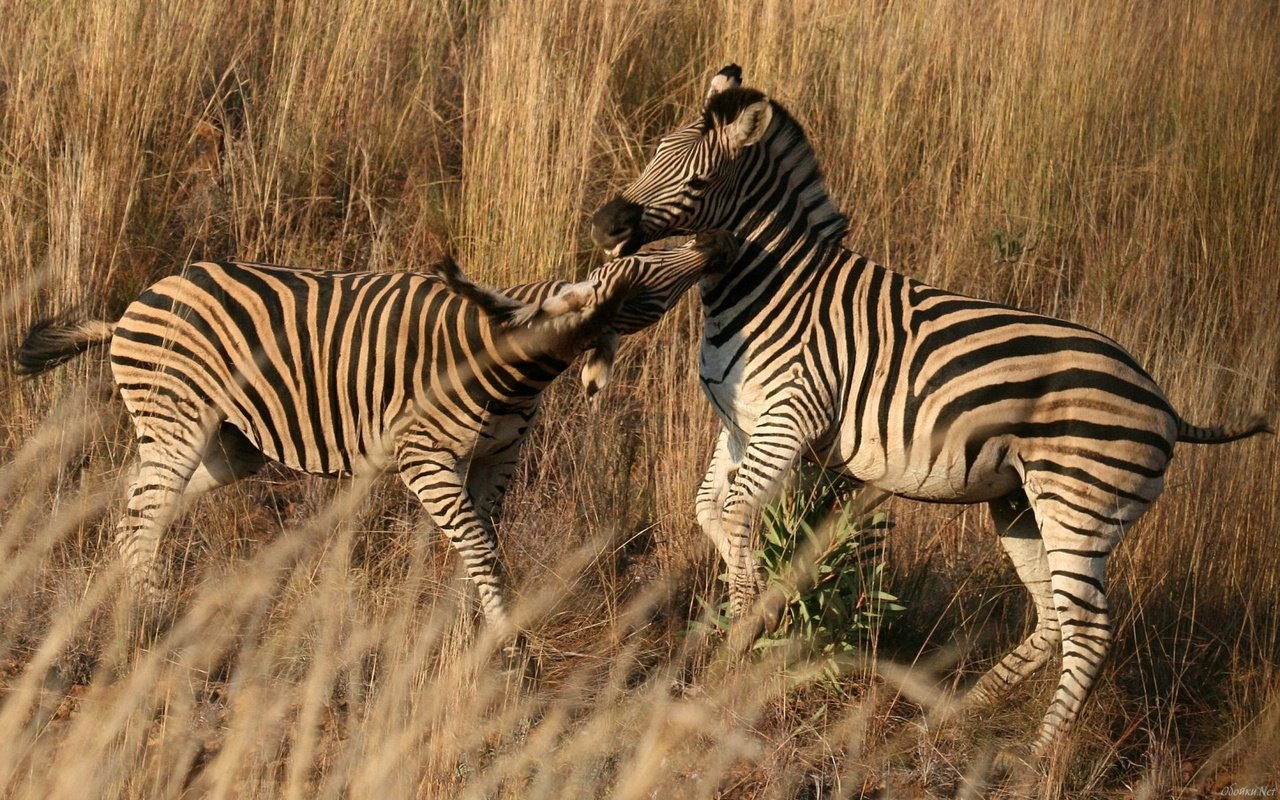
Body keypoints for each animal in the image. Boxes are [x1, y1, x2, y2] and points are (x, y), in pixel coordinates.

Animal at [15, 227, 737, 652]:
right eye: (642, 269)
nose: (715, 238)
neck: (514, 363)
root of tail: (126, 311)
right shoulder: (426, 457)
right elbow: (476, 540)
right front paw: (508, 641)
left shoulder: (498, 457)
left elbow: (484, 540)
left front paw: (475, 623)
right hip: (181, 418)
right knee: (144, 510)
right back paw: (152, 618)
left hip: (227, 444)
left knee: (136, 500)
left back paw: (127, 592)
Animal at [588, 62, 1269, 762]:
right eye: (652, 154)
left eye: (697, 181)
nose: (605, 224)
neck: (769, 287)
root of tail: (1166, 404)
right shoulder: (741, 425)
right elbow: (712, 513)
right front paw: (758, 607)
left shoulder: (791, 414)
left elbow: (735, 512)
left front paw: (738, 643)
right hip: (1022, 504)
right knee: (1053, 618)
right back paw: (955, 715)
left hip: (1079, 506)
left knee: (1089, 631)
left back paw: (1035, 759)